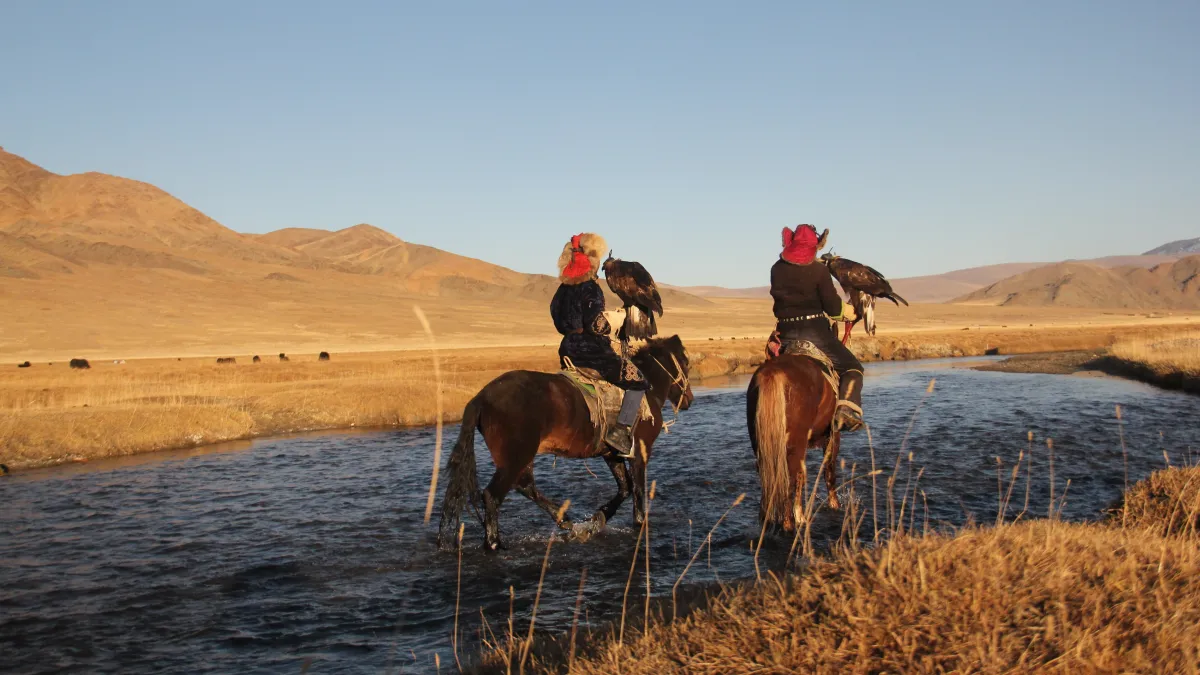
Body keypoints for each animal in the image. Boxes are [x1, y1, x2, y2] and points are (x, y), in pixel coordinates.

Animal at [439, 333, 696, 550]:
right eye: (686, 362)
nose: (689, 400)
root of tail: (481, 397)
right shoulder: (640, 452)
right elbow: (639, 491)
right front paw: (639, 524)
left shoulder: (612, 454)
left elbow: (625, 488)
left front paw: (597, 519)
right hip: (517, 456)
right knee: (493, 495)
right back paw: (494, 544)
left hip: (521, 456)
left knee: (525, 486)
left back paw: (566, 522)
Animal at [744, 348, 840, 528]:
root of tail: (773, 372)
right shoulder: (833, 435)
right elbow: (829, 472)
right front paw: (835, 505)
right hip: (796, 445)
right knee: (790, 478)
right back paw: (790, 522)